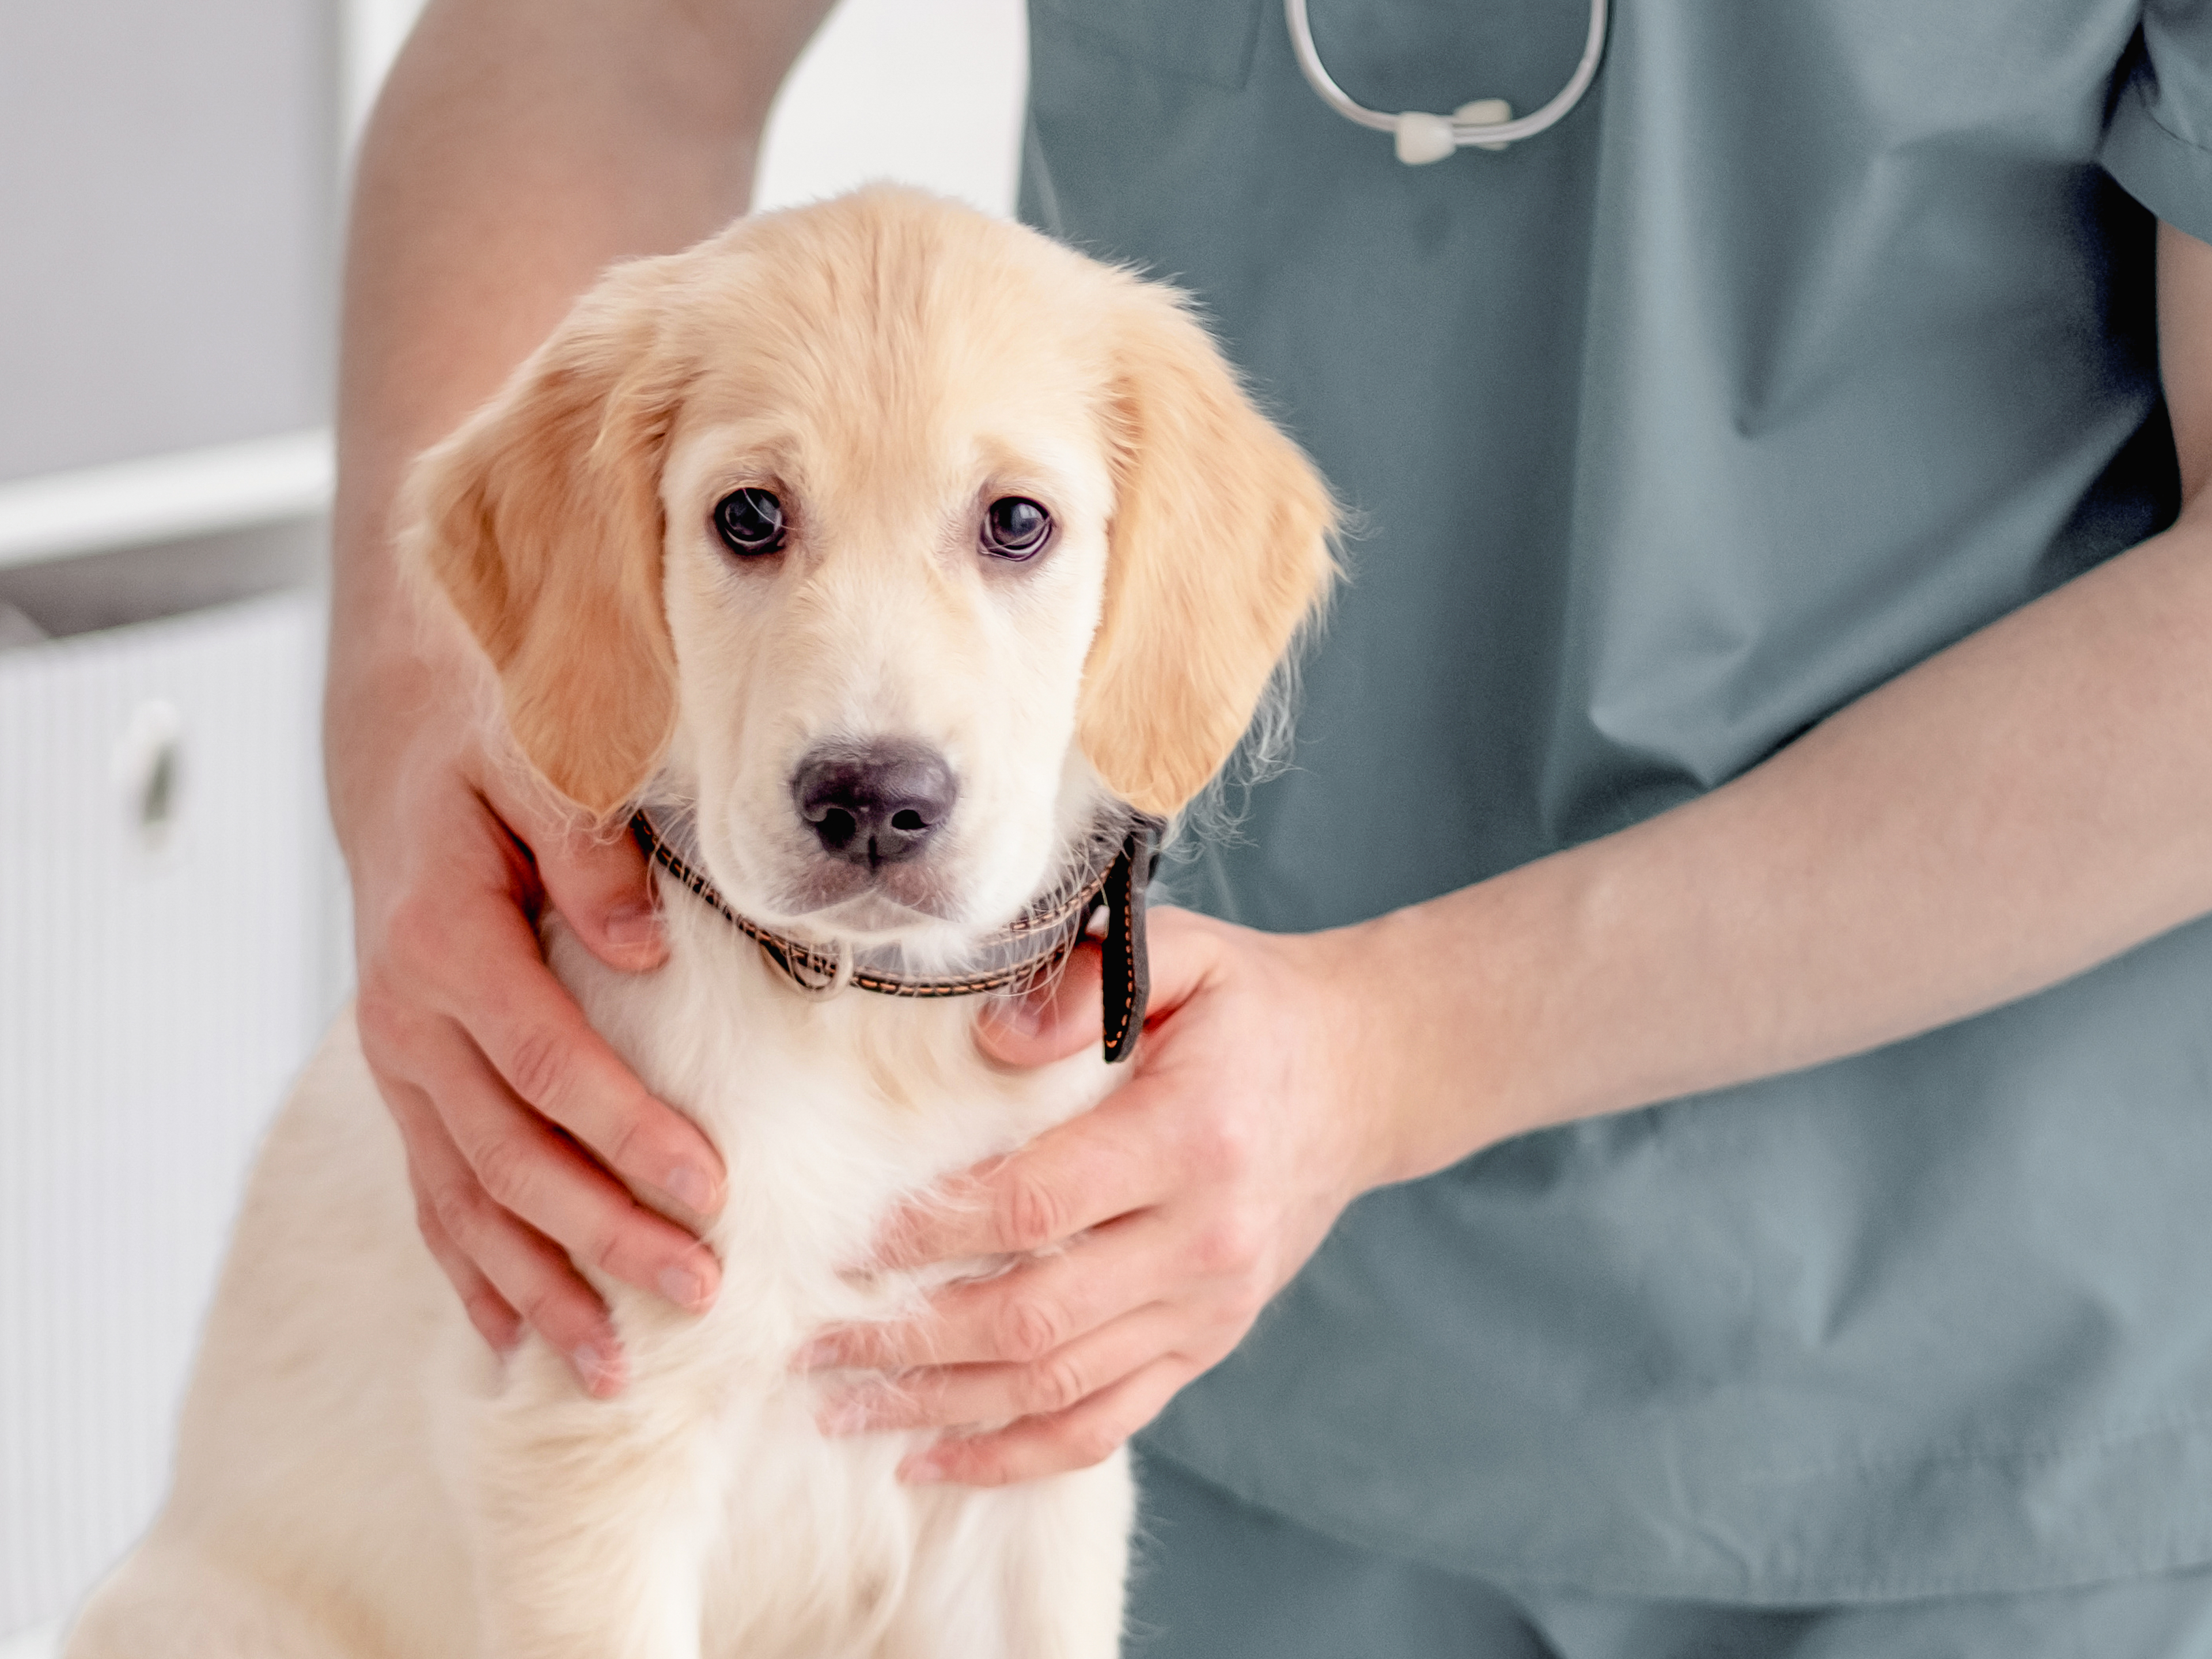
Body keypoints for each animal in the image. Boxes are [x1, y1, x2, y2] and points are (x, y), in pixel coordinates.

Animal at [65, 188, 1327, 1659]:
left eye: (1017, 521)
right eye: (750, 515)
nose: (872, 800)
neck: (867, 1025)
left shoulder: (1032, 1439)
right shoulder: (589, 1440)